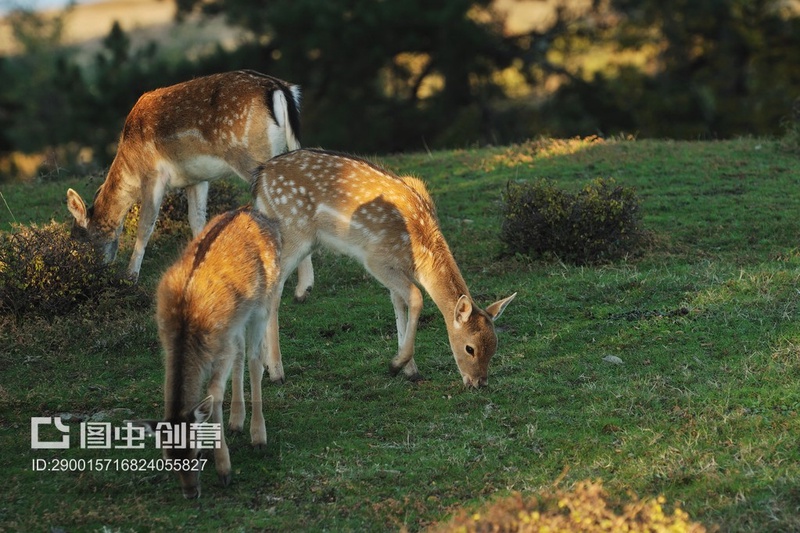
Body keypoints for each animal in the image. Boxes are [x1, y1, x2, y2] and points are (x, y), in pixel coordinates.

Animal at [65, 69, 313, 300]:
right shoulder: (196, 179)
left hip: (249, 153)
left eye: (77, 242)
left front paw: (130, 278)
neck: (130, 167)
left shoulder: (153, 174)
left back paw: (302, 287)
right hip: (287, 147)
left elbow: (146, 225)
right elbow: (197, 220)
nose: (83, 278)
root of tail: (281, 89)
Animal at [128, 207, 282, 499]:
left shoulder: (221, 348)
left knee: (255, 359)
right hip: (237, 323)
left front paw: (224, 470)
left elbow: (214, 395)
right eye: (168, 460)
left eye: (197, 455)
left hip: (265, 301)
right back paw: (237, 421)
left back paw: (258, 435)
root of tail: (252, 211)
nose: (190, 493)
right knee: (242, 353)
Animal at [252, 148, 516, 388]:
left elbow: (399, 304)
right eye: (470, 348)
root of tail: (261, 176)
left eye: (495, 346)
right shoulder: (376, 259)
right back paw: (276, 372)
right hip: (294, 232)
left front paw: (410, 370)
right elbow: (416, 296)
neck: (418, 254)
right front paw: (396, 365)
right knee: (274, 290)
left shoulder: (396, 269)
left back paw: (264, 366)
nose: (479, 383)